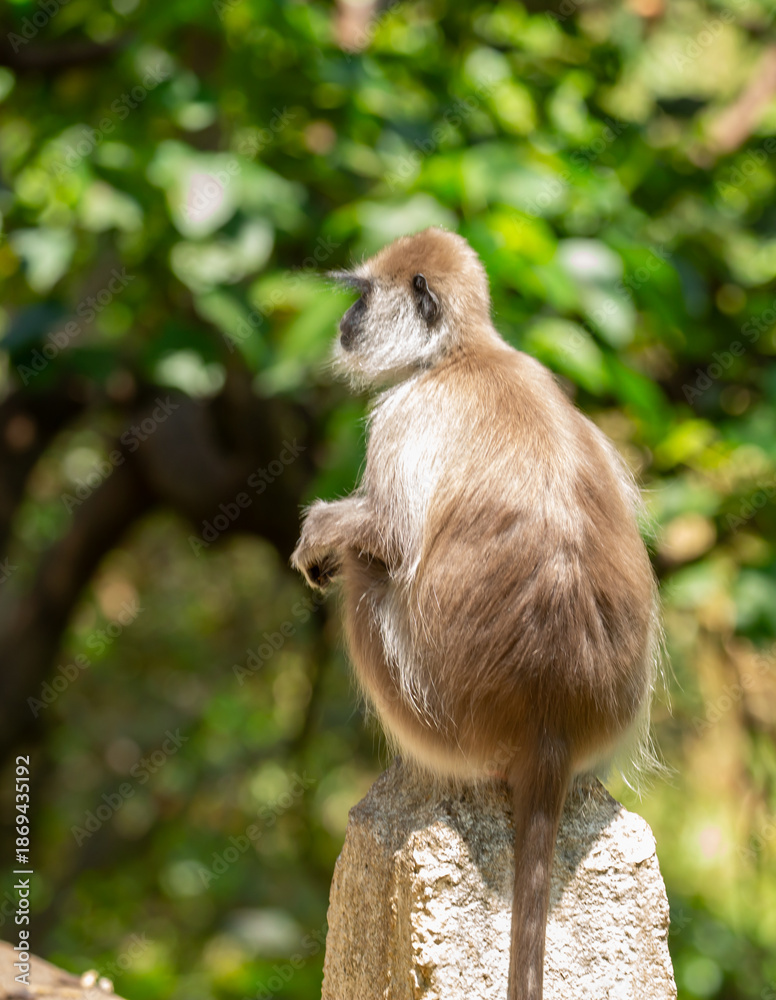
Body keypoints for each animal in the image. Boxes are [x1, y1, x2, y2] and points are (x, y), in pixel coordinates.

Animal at [291, 227, 660, 1000]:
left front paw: (321, 535)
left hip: (429, 710)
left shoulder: (404, 412)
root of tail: (549, 726)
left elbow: (387, 536)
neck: (465, 354)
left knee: (366, 578)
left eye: (363, 295)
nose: (344, 323)